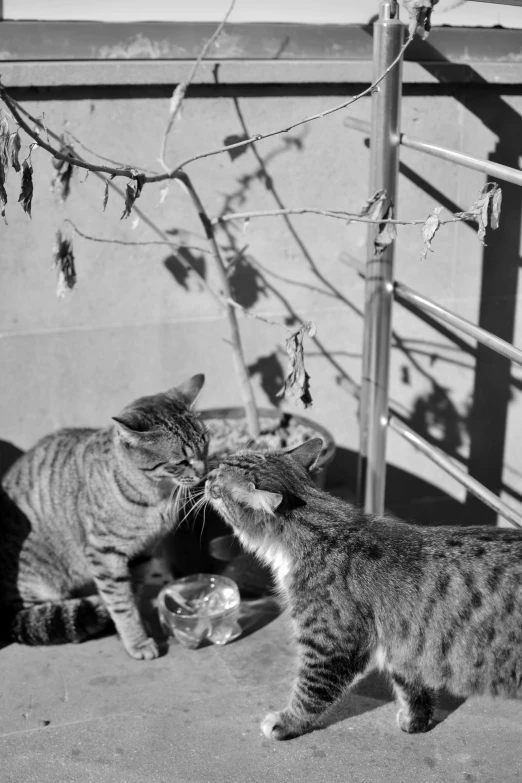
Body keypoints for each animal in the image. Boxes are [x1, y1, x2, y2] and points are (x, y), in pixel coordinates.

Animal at [0, 374, 207, 660]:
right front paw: (137, 640)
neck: (157, 495)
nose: (204, 471)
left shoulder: (143, 551)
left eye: (205, 442)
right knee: (41, 615)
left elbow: (139, 589)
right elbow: (121, 603)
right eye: (181, 462)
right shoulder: (105, 553)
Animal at [204, 440, 520, 740]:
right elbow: (412, 688)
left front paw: (287, 722)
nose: (205, 477)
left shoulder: (331, 645)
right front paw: (415, 721)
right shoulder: (405, 643)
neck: (321, 533)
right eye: (220, 465)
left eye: (217, 483)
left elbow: (310, 692)